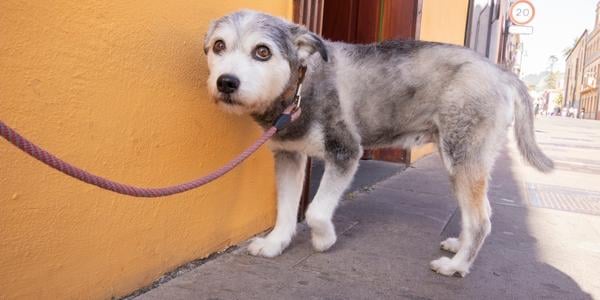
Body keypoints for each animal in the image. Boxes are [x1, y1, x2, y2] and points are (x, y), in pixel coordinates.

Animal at [204, 9, 556, 276]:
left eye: (262, 52)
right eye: (218, 46)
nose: (226, 82)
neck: (302, 89)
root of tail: (500, 72)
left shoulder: (345, 152)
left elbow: (316, 211)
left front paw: (324, 240)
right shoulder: (289, 156)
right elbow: (287, 210)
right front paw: (275, 244)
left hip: (464, 158)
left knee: (481, 220)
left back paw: (455, 266)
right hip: (459, 161)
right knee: (478, 215)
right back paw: (458, 246)